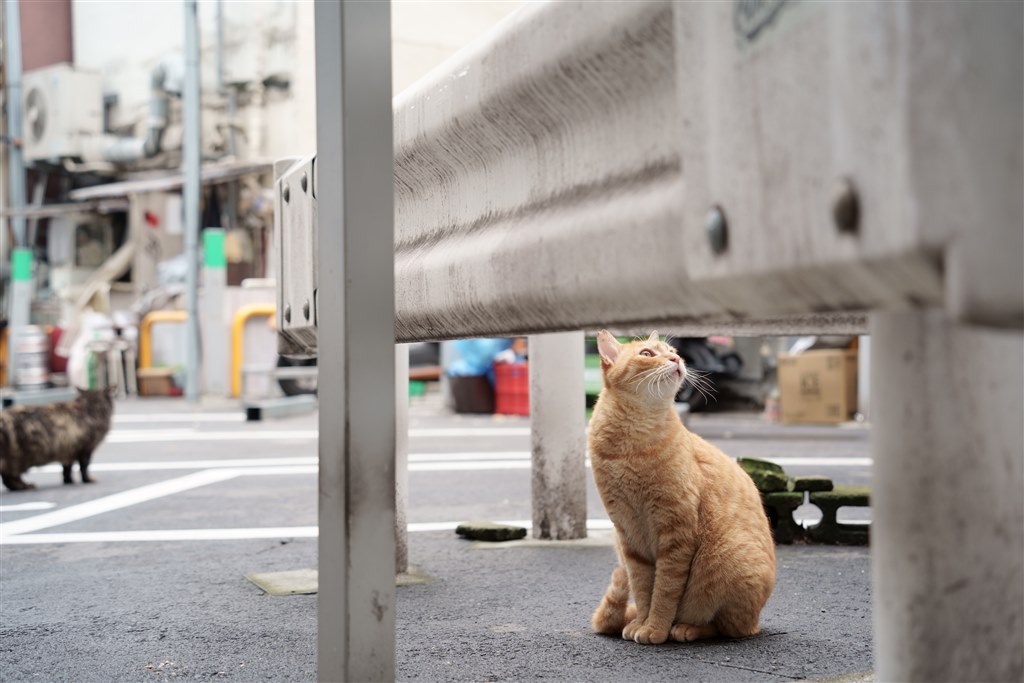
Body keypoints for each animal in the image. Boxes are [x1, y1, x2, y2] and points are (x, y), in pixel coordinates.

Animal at [585, 331, 774, 647]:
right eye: (647, 354)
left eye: (672, 351)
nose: (676, 359)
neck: (632, 446)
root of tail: (758, 619)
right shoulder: (628, 536)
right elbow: (642, 589)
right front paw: (641, 623)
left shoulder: (676, 533)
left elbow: (664, 591)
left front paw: (655, 628)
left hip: (729, 563)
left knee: (727, 628)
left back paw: (686, 628)